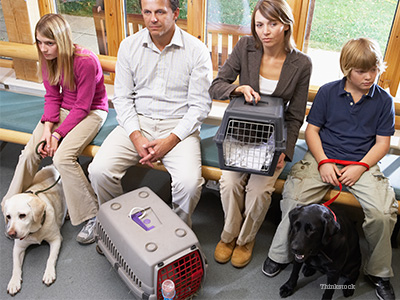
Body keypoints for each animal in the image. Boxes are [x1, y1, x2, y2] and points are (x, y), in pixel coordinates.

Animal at [1, 165, 65, 296]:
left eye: (22, 215)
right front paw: (14, 282)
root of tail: (51, 166)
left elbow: (50, 258)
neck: (34, 232)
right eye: (8, 216)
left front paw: (49, 273)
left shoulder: (56, 239)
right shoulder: (18, 248)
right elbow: (16, 266)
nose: (11, 234)